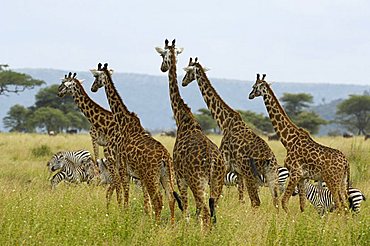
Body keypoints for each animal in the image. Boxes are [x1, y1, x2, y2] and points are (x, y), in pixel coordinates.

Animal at [90, 62, 181, 223]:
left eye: (96, 76)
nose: (92, 88)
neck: (123, 122)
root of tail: (165, 157)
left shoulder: (123, 169)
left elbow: (126, 194)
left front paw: (124, 216)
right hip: (166, 175)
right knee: (171, 198)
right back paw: (171, 226)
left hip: (151, 176)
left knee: (158, 200)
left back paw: (155, 226)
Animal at [155, 39, 225, 228]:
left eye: (162, 55)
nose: (162, 68)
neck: (182, 118)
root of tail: (213, 160)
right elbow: (195, 211)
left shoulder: (180, 177)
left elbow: (186, 210)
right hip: (217, 182)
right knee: (212, 210)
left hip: (197, 181)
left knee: (206, 212)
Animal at [182, 57, 280, 209]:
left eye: (188, 71)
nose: (183, 82)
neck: (224, 122)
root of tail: (269, 159)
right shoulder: (238, 171)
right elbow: (241, 198)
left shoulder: (226, 162)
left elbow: (217, 194)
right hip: (270, 176)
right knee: (275, 201)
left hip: (251, 175)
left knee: (256, 201)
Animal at [249, 73, 350, 213]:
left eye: (254, 86)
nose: (250, 95)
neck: (288, 140)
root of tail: (346, 163)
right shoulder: (302, 177)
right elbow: (302, 204)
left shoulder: (295, 173)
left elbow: (284, 201)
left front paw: (286, 218)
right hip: (342, 182)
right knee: (345, 206)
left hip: (333, 181)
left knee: (340, 206)